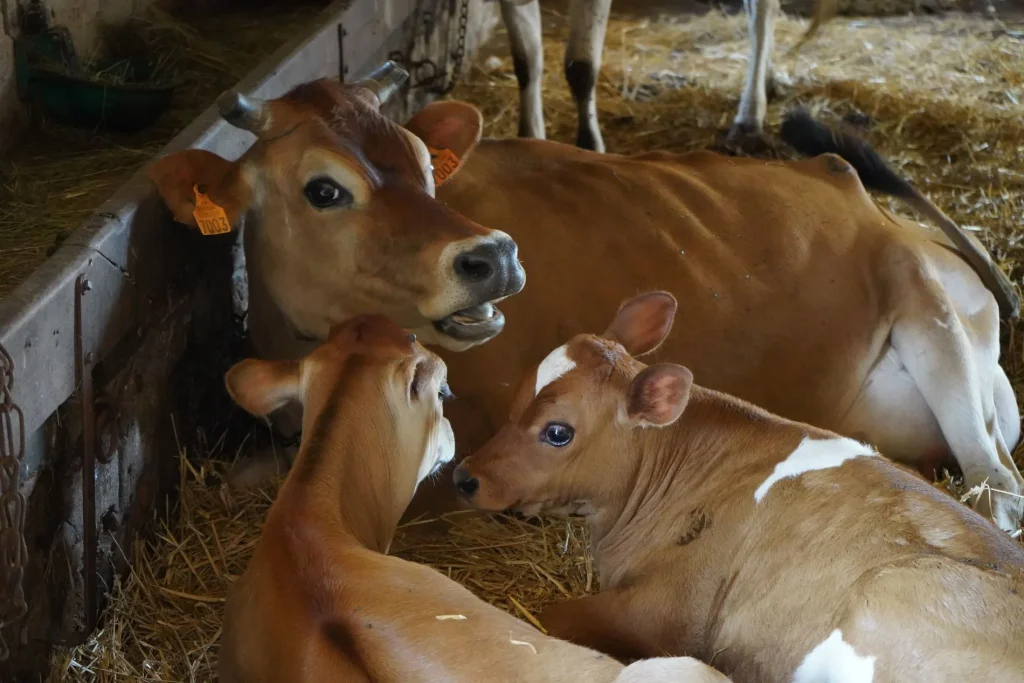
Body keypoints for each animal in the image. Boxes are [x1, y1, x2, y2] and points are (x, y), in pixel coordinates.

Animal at [149, 63, 1024, 532]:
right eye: (324, 188)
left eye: (426, 167)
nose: (494, 255)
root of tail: (859, 194)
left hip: (931, 317)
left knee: (999, 484)